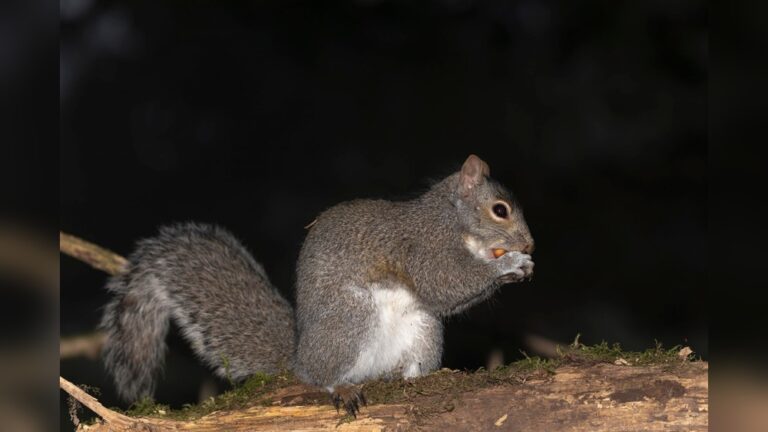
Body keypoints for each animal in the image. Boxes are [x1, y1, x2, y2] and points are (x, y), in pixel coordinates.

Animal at [99, 154, 534, 416]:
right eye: (500, 210)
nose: (530, 244)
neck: (450, 220)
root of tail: (299, 357)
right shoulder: (422, 247)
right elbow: (444, 283)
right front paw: (510, 264)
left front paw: (522, 267)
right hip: (350, 319)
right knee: (322, 377)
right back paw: (341, 387)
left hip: (423, 330)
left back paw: (411, 378)